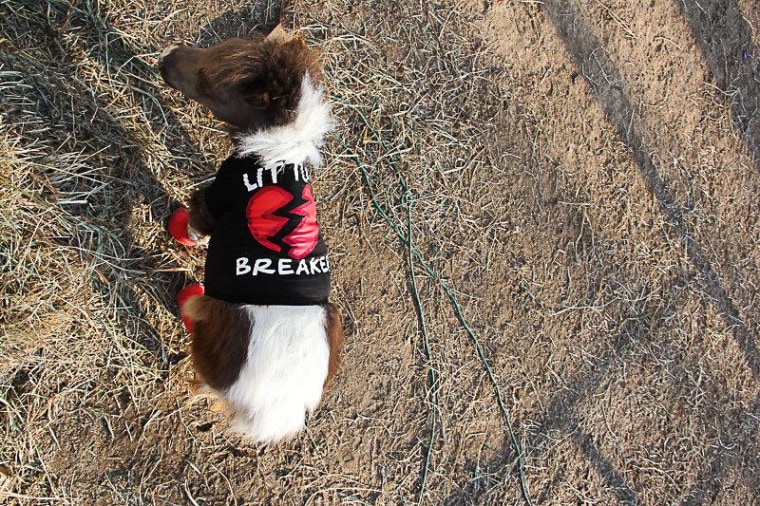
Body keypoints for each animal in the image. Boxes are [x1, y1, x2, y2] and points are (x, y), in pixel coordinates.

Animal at [160, 25, 344, 442]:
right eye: (214, 47)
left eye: (208, 86)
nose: (166, 59)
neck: (276, 153)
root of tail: (276, 410)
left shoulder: (216, 199)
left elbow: (196, 223)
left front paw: (182, 234)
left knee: (202, 377)